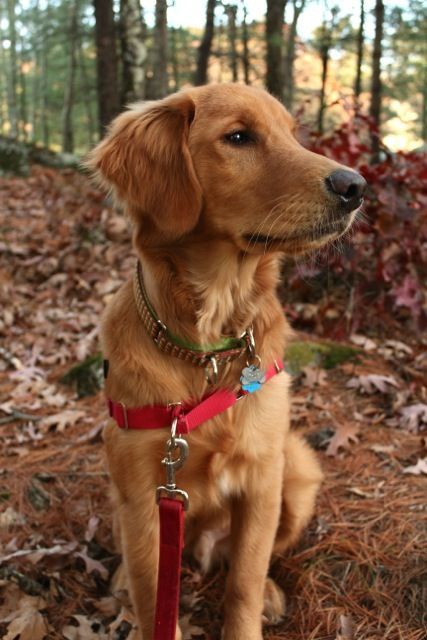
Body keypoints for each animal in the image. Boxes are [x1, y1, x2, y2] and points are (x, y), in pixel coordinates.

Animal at [88, 82, 368, 636]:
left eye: (293, 134)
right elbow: (153, 593)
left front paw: (250, 613)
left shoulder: (261, 479)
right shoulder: (145, 493)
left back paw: (272, 594)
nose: (355, 186)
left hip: (297, 469)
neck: (207, 345)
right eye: (239, 137)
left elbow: (244, 579)